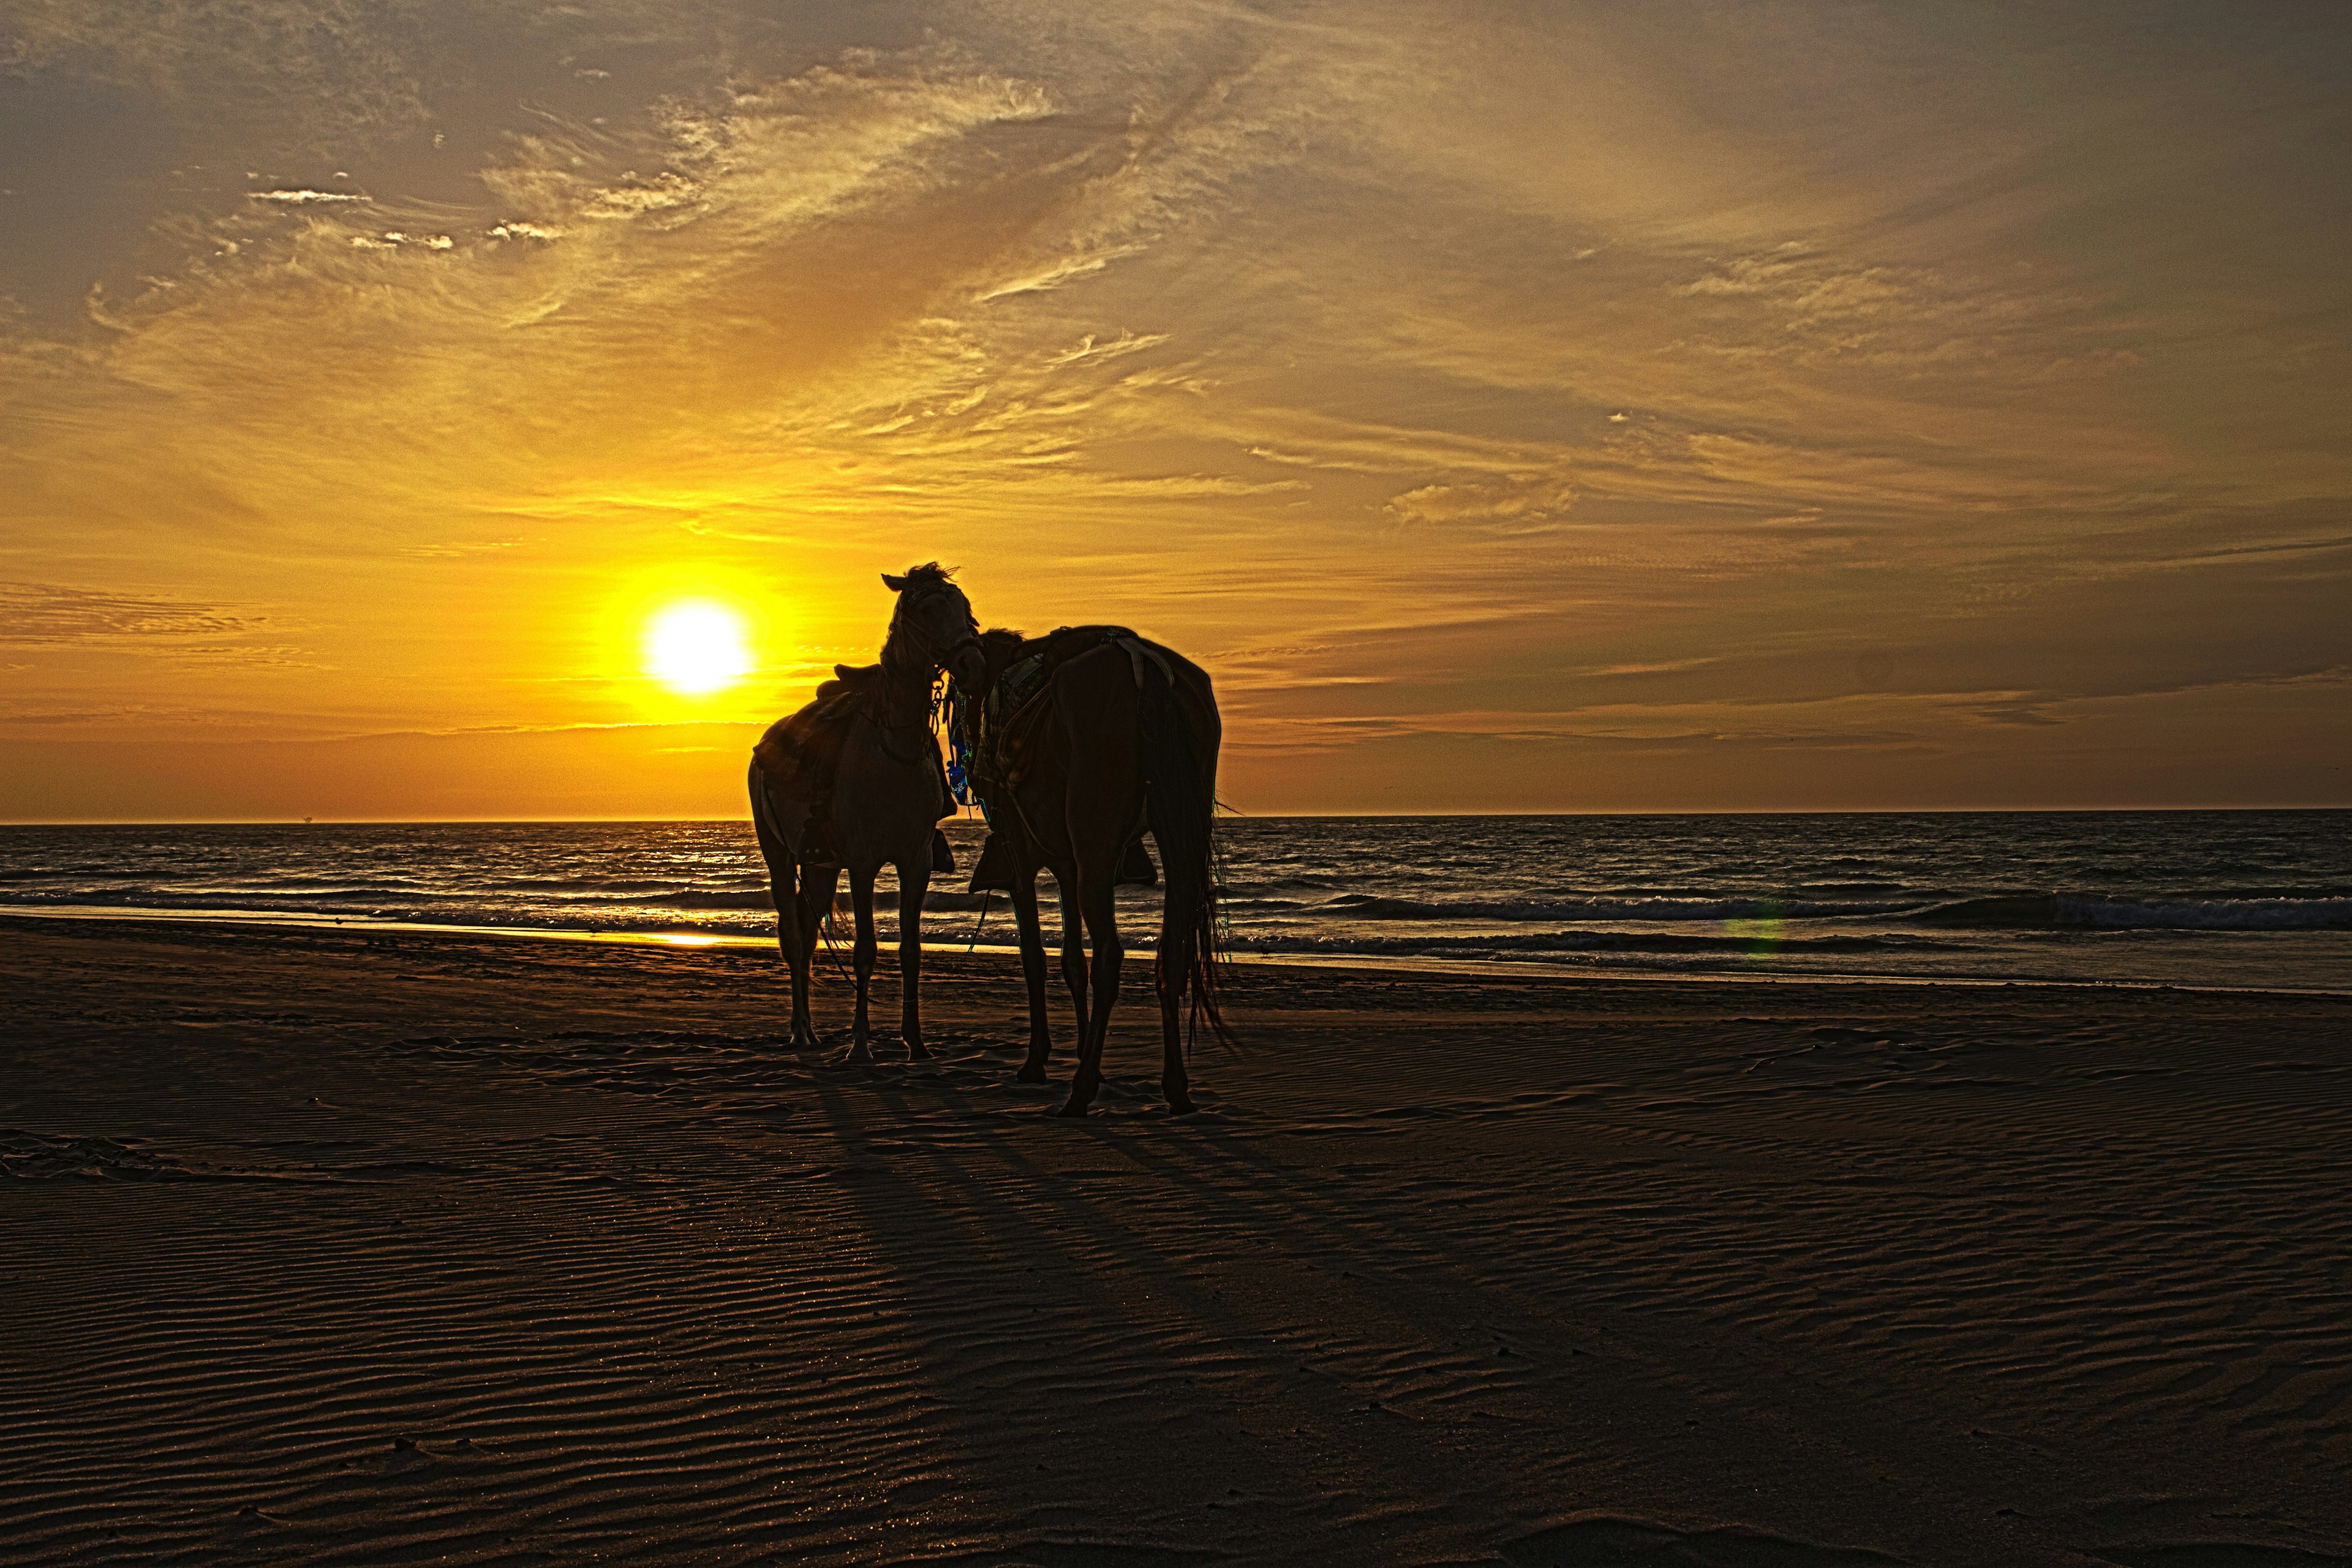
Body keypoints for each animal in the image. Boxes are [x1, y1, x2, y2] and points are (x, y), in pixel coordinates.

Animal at [743, 571, 983, 1062]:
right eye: (926, 609)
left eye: (962, 605)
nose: (971, 663)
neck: (893, 748)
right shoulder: (863, 863)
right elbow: (866, 951)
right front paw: (859, 1046)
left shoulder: (916, 862)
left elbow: (910, 950)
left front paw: (915, 1042)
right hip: (780, 858)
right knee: (792, 938)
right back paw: (801, 1032)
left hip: (819, 866)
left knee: (808, 934)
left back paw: (812, 1031)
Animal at [959, 625, 1242, 1114]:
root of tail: (1142, 663)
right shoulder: (1066, 864)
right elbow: (1073, 959)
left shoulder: (1023, 861)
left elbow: (1035, 956)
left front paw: (1038, 1060)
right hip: (1179, 841)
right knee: (1171, 952)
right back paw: (1174, 1087)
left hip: (1096, 850)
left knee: (1110, 955)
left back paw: (1083, 1087)